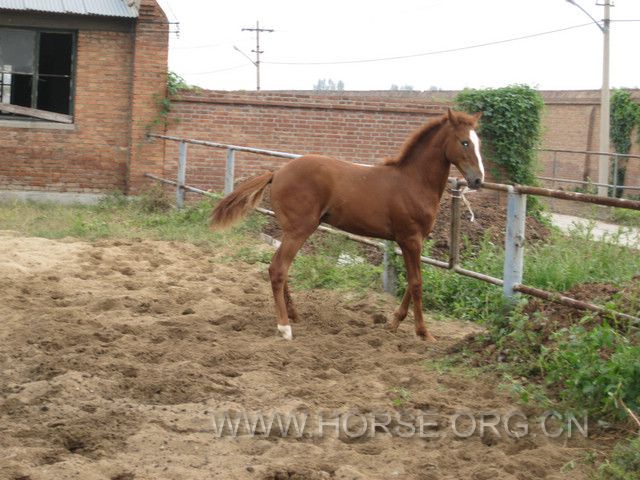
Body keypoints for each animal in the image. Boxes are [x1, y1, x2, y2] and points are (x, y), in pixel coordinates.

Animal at [211, 109, 484, 342]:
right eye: (464, 142)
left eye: (478, 142)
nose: (478, 180)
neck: (413, 182)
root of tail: (276, 173)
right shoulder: (410, 239)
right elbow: (417, 283)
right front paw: (424, 333)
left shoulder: (412, 241)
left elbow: (411, 281)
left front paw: (394, 322)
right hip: (299, 230)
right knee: (278, 268)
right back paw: (284, 327)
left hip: (290, 231)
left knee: (278, 267)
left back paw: (295, 315)